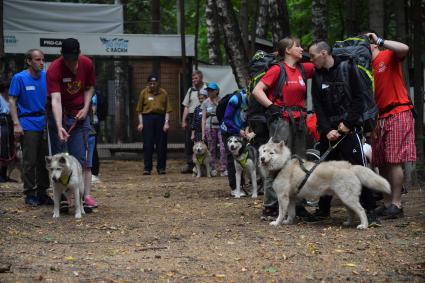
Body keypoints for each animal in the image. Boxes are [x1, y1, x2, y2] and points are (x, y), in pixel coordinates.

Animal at [256, 140, 390, 231]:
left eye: (271, 153)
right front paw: (288, 222)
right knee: (351, 212)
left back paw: (364, 225)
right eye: (263, 151)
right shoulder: (291, 198)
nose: (262, 158)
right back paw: (348, 223)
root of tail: (350, 166)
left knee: (361, 210)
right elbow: (291, 212)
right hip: (345, 199)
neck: (282, 165)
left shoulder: (282, 197)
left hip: (348, 198)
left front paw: (277, 222)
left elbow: (281, 212)